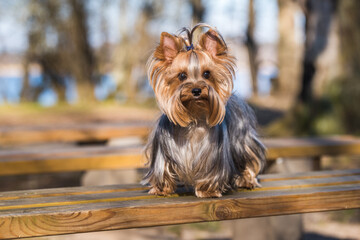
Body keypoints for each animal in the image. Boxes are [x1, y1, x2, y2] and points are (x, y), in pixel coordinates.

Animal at [142, 23, 266, 198]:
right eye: (182, 76)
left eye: (207, 73)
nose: (196, 90)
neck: (194, 117)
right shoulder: (161, 151)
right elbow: (162, 168)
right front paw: (161, 188)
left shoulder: (215, 156)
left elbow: (212, 173)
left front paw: (207, 190)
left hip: (243, 142)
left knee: (250, 159)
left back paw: (247, 180)